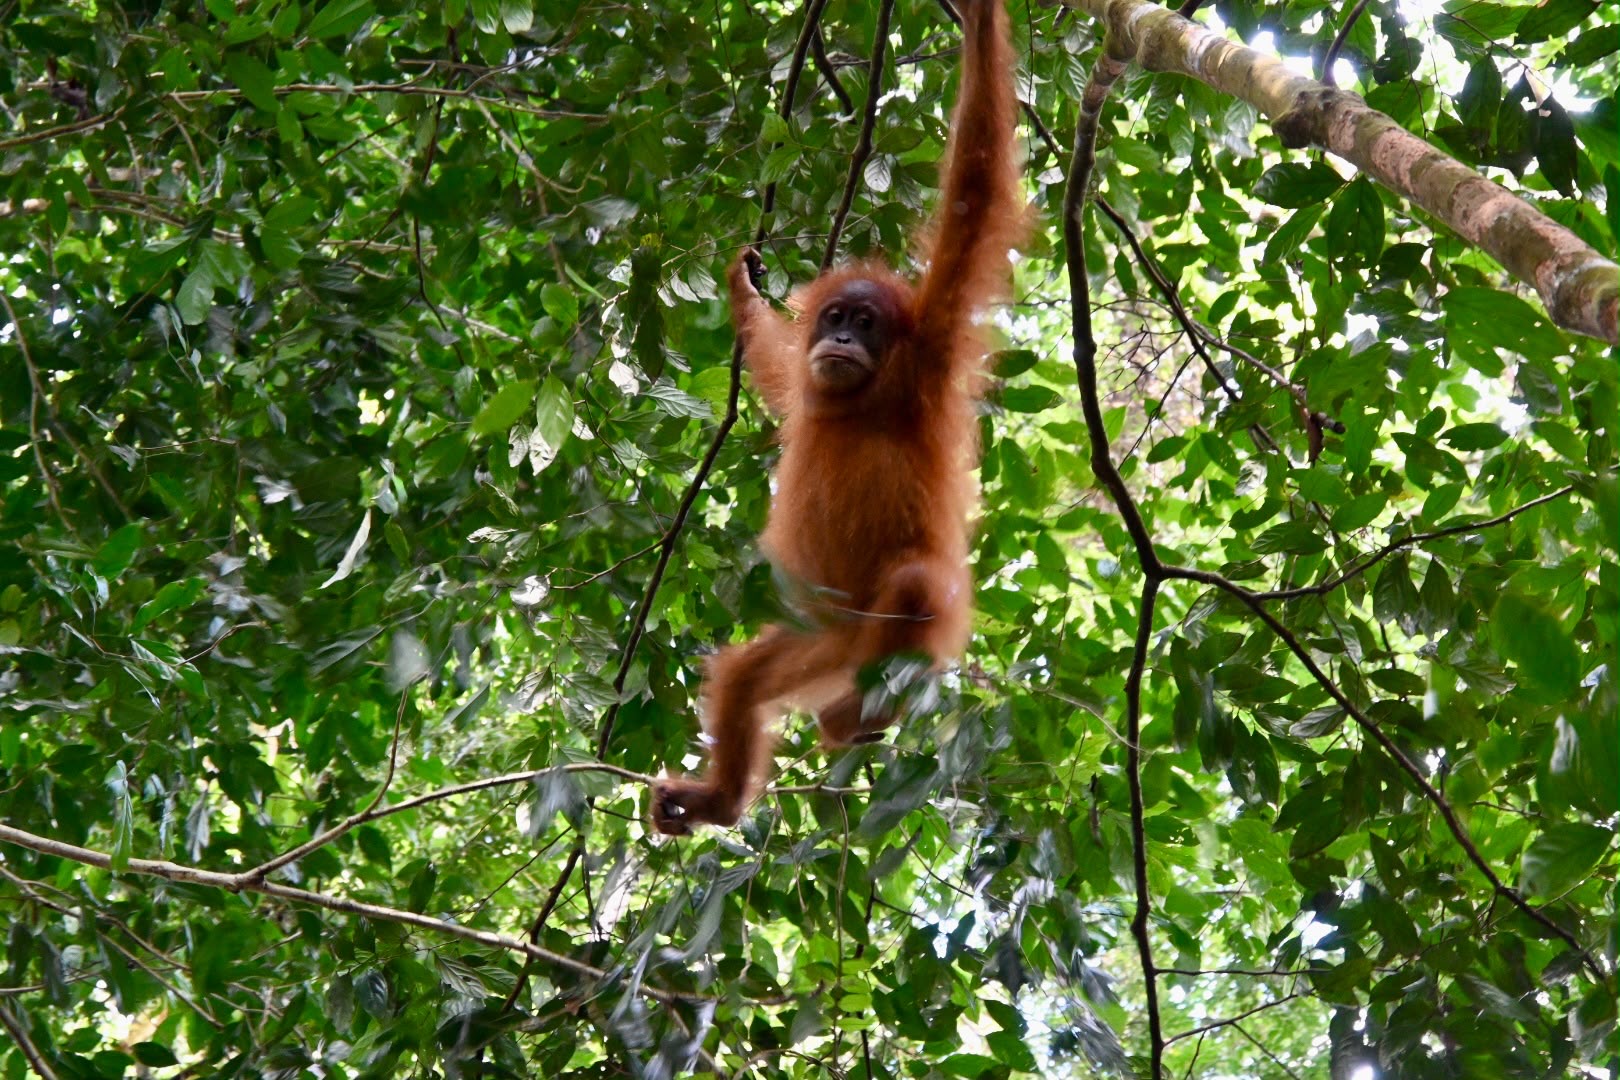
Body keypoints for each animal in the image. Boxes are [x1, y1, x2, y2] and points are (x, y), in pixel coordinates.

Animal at [651, 0, 1022, 835]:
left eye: (866, 322)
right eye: (834, 318)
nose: (843, 339)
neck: (858, 402)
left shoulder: (932, 349)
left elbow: (974, 190)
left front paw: (981, 20)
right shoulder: (806, 389)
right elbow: (774, 366)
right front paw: (744, 289)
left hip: (893, 635)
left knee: (915, 584)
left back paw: (856, 719)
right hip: (812, 643)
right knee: (745, 675)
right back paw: (724, 795)